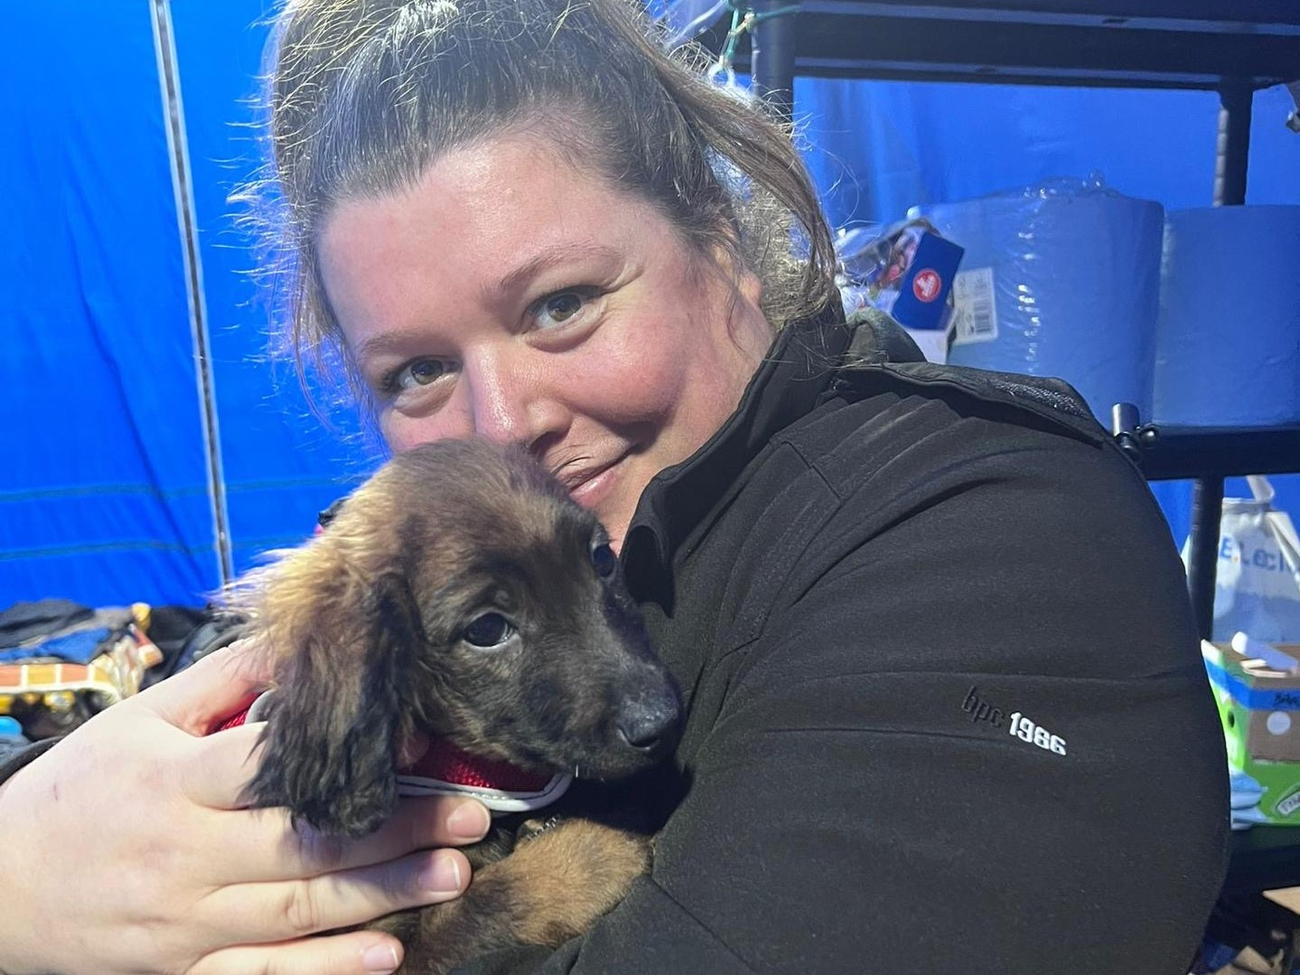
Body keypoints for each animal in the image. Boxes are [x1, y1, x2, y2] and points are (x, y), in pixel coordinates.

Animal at [222, 441, 681, 975]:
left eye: (603, 559)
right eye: (486, 629)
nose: (663, 722)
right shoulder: (377, 949)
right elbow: (488, 901)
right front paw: (592, 852)